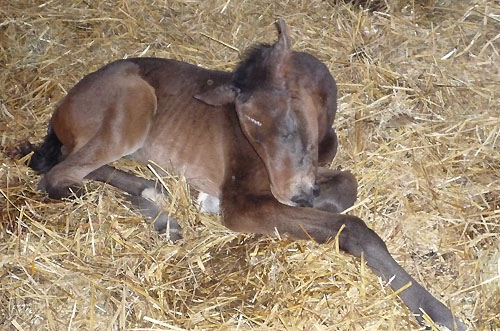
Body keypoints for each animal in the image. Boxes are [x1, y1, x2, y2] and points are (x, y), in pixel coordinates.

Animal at [18, 20, 464, 331]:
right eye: (248, 130)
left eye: (289, 122)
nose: (294, 195)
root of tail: (62, 107)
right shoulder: (245, 203)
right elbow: (352, 227)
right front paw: (435, 310)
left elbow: (347, 186)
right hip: (132, 108)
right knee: (57, 175)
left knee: (81, 166)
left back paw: (153, 200)